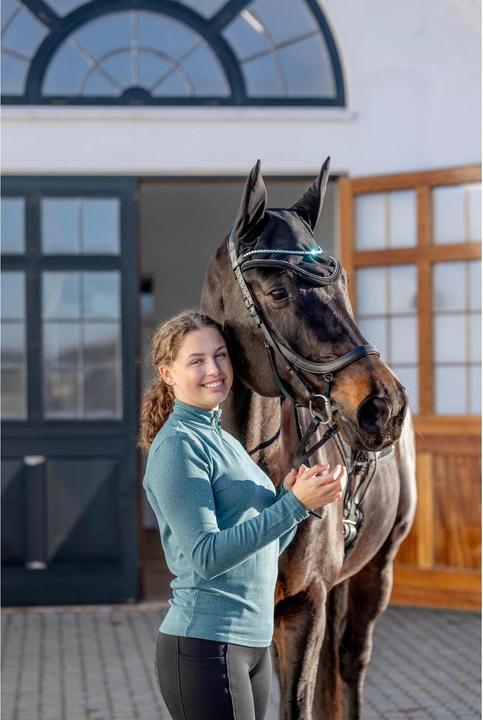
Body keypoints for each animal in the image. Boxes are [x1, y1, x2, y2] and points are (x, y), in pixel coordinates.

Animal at [200, 158, 417, 720]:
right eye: (278, 291)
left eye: (340, 283)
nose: (383, 405)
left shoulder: (304, 605)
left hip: (376, 571)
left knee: (351, 660)